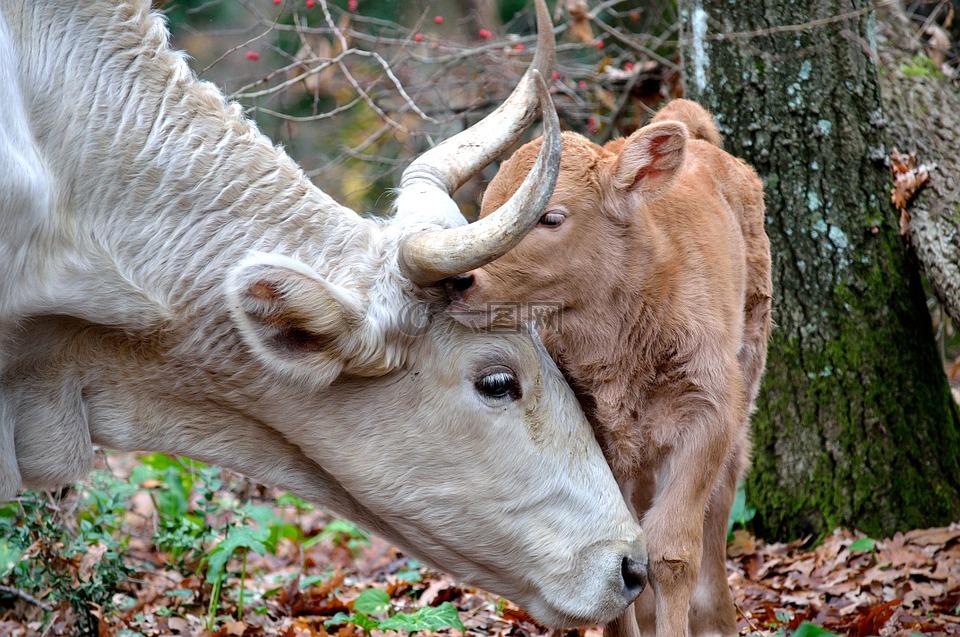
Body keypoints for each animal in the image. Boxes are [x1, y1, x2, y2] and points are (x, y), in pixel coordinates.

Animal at [450, 97, 772, 632]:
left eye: (551, 217)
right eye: (487, 208)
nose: (458, 280)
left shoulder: (707, 415)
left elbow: (672, 551)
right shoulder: (592, 429)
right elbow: (619, 550)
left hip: (747, 371)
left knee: (723, 493)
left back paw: (717, 620)